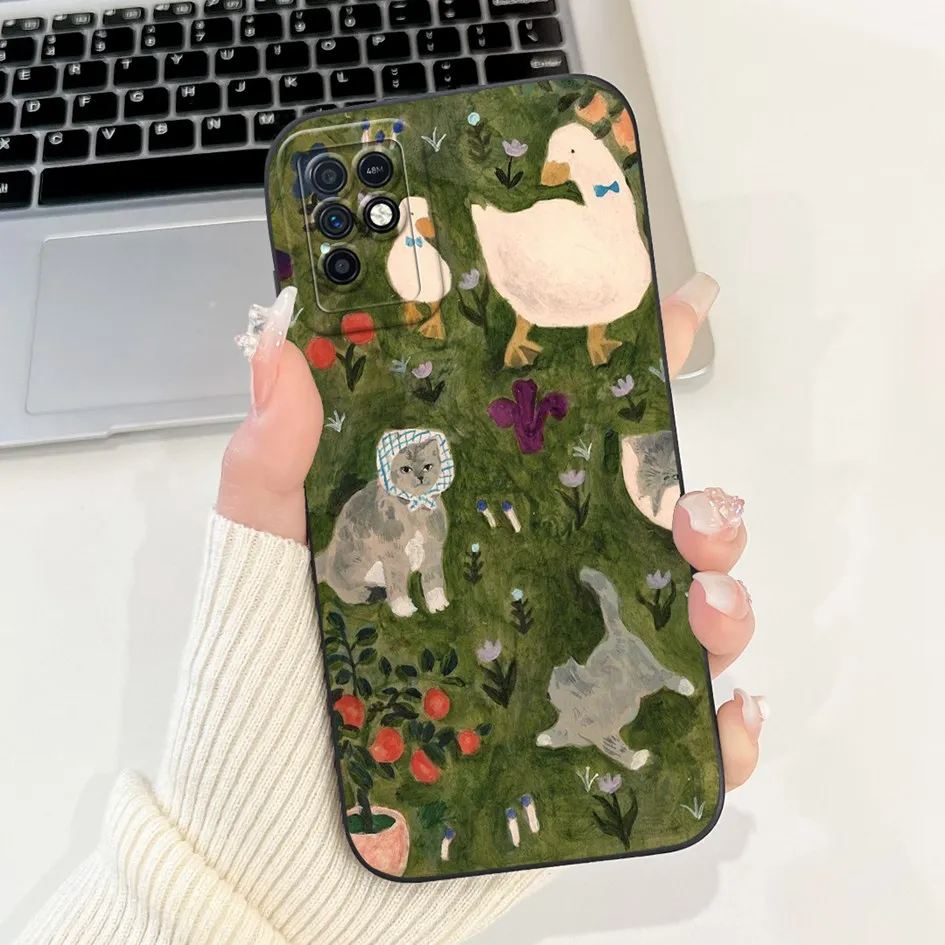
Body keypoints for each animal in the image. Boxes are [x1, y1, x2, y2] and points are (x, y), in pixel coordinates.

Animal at [315, 429, 454, 618]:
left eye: (428, 466)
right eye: (405, 469)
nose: (420, 476)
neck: (415, 511)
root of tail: (328, 553)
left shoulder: (433, 551)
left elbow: (434, 580)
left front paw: (438, 604)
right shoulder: (394, 557)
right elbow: (397, 585)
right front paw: (404, 609)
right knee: (345, 589)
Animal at [536, 567, 695, 771]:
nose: (548, 691)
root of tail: (615, 633)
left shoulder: (603, 734)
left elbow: (615, 749)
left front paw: (638, 759)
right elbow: (557, 734)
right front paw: (543, 738)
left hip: (648, 678)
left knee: (666, 676)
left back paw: (687, 686)